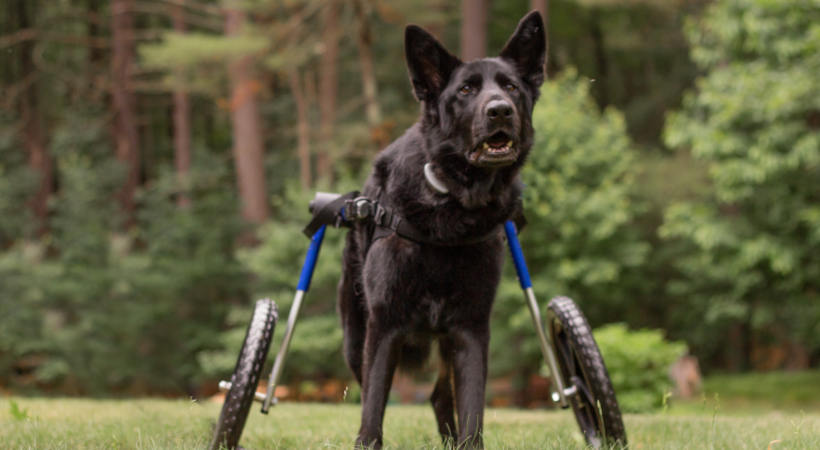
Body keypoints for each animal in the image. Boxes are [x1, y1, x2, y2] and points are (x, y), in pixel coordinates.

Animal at [336, 11, 548, 450]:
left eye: (511, 87)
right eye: (466, 90)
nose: (500, 111)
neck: (451, 203)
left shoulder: (470, 330)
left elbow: (472, 409)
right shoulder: (385, 327)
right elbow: (372, 409)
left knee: (438, 395)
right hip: (354, 337)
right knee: (370, 389)